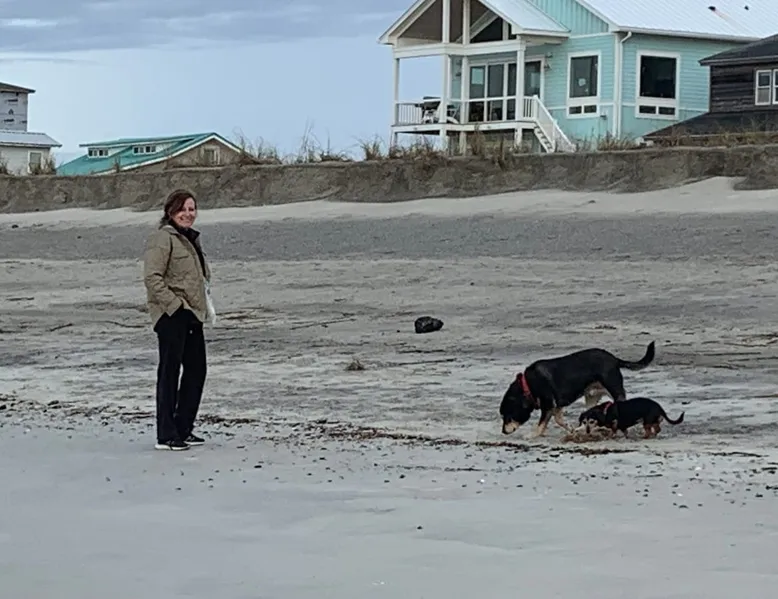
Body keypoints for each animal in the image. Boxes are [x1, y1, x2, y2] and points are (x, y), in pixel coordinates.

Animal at [499, 341, 655, 437]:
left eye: (508, 416)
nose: (504, 432)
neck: (527, 385)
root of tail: (614, 359)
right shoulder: (556, 406)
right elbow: (559, 420)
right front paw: (572, 429)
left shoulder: (548, 405)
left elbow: (542, 423)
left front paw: (533, 434)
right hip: (591, 396)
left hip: (614, 390)